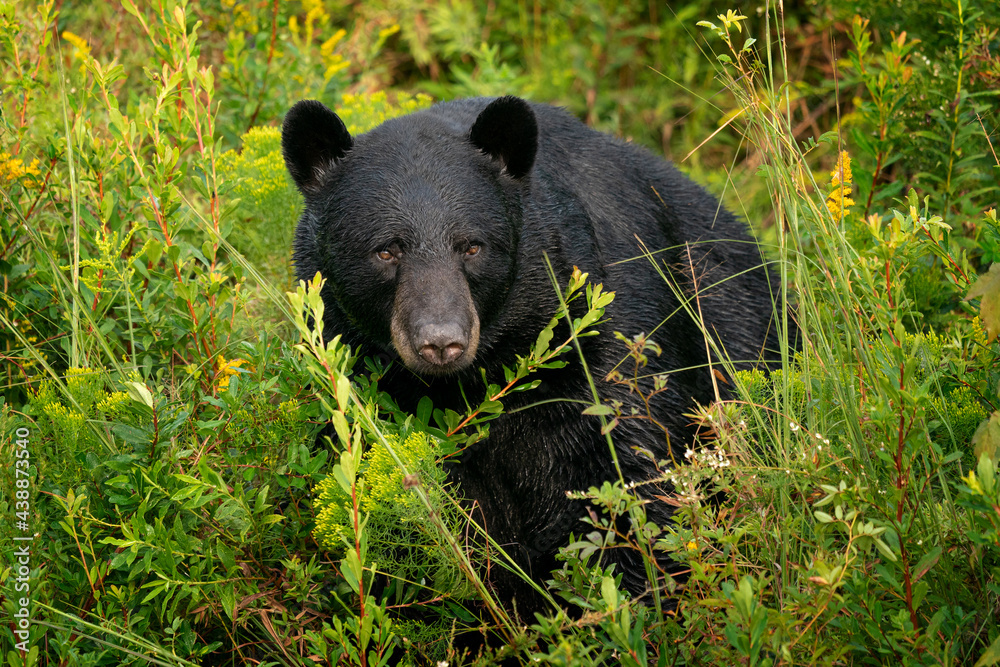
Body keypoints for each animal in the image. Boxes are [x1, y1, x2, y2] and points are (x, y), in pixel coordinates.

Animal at [282, 96, 788, 612]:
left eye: (472, 246)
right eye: (386, 251)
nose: (441, 342)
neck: (473, 378)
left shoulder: (601, 341)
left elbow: (625, 473)